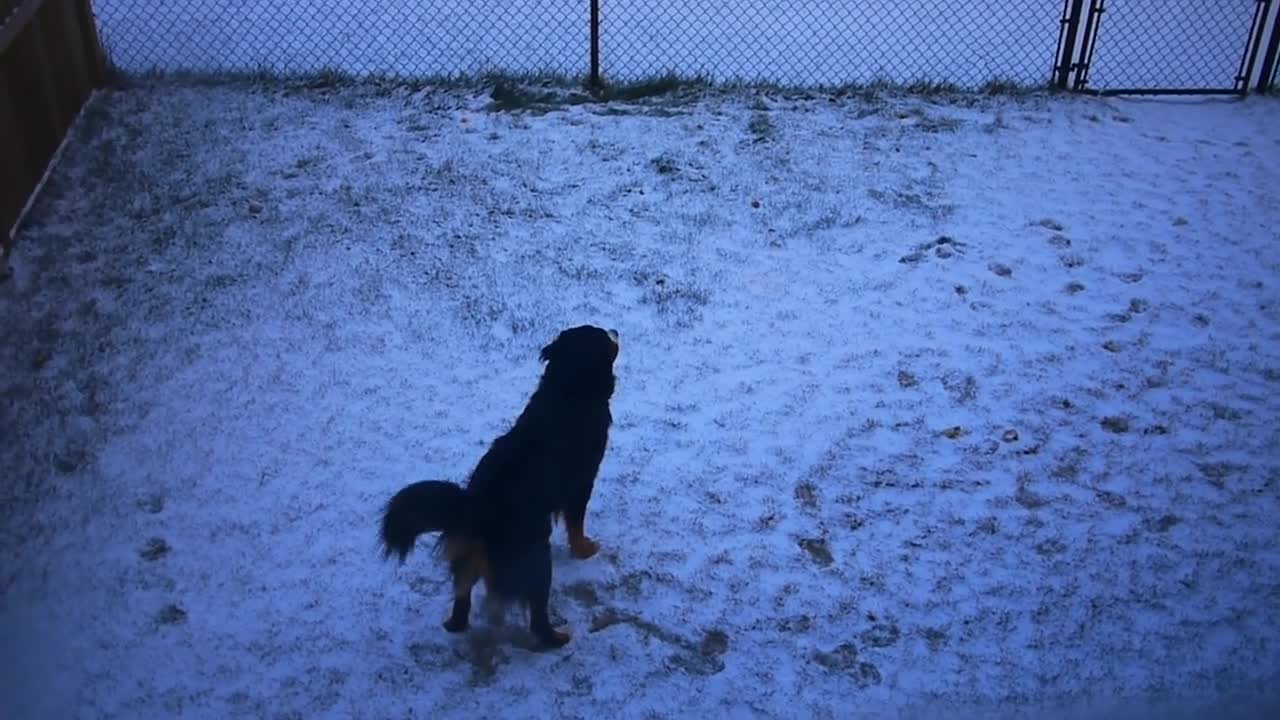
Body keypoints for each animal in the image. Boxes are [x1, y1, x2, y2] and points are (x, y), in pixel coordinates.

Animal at [378, 324, 619, 645]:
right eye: (605, 337)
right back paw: (558, 638)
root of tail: (475, 509)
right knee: (537, 618)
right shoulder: (582, 483)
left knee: (462, 601)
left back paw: (455, 625)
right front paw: (584, 549)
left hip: (468, 559)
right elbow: (576, 524)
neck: (568, 389)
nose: (616, 329)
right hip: (536, 559)